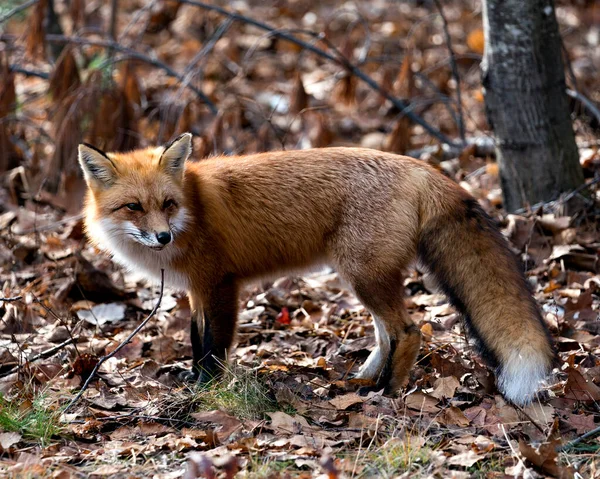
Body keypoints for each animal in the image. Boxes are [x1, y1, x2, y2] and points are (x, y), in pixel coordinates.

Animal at [77, 132, 556, 404]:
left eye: (167, 204)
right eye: (134, 207)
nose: (163, 237)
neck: (192, 209)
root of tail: (420, 167)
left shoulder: (219, 285)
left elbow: (214, 347)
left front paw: (204, 393)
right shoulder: (197, 290)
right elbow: (197, 342)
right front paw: (194, 382)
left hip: (363, 276)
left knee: (409, 331)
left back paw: (388, 393)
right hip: (363, 278)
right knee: (385, 334)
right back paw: (363, 382)